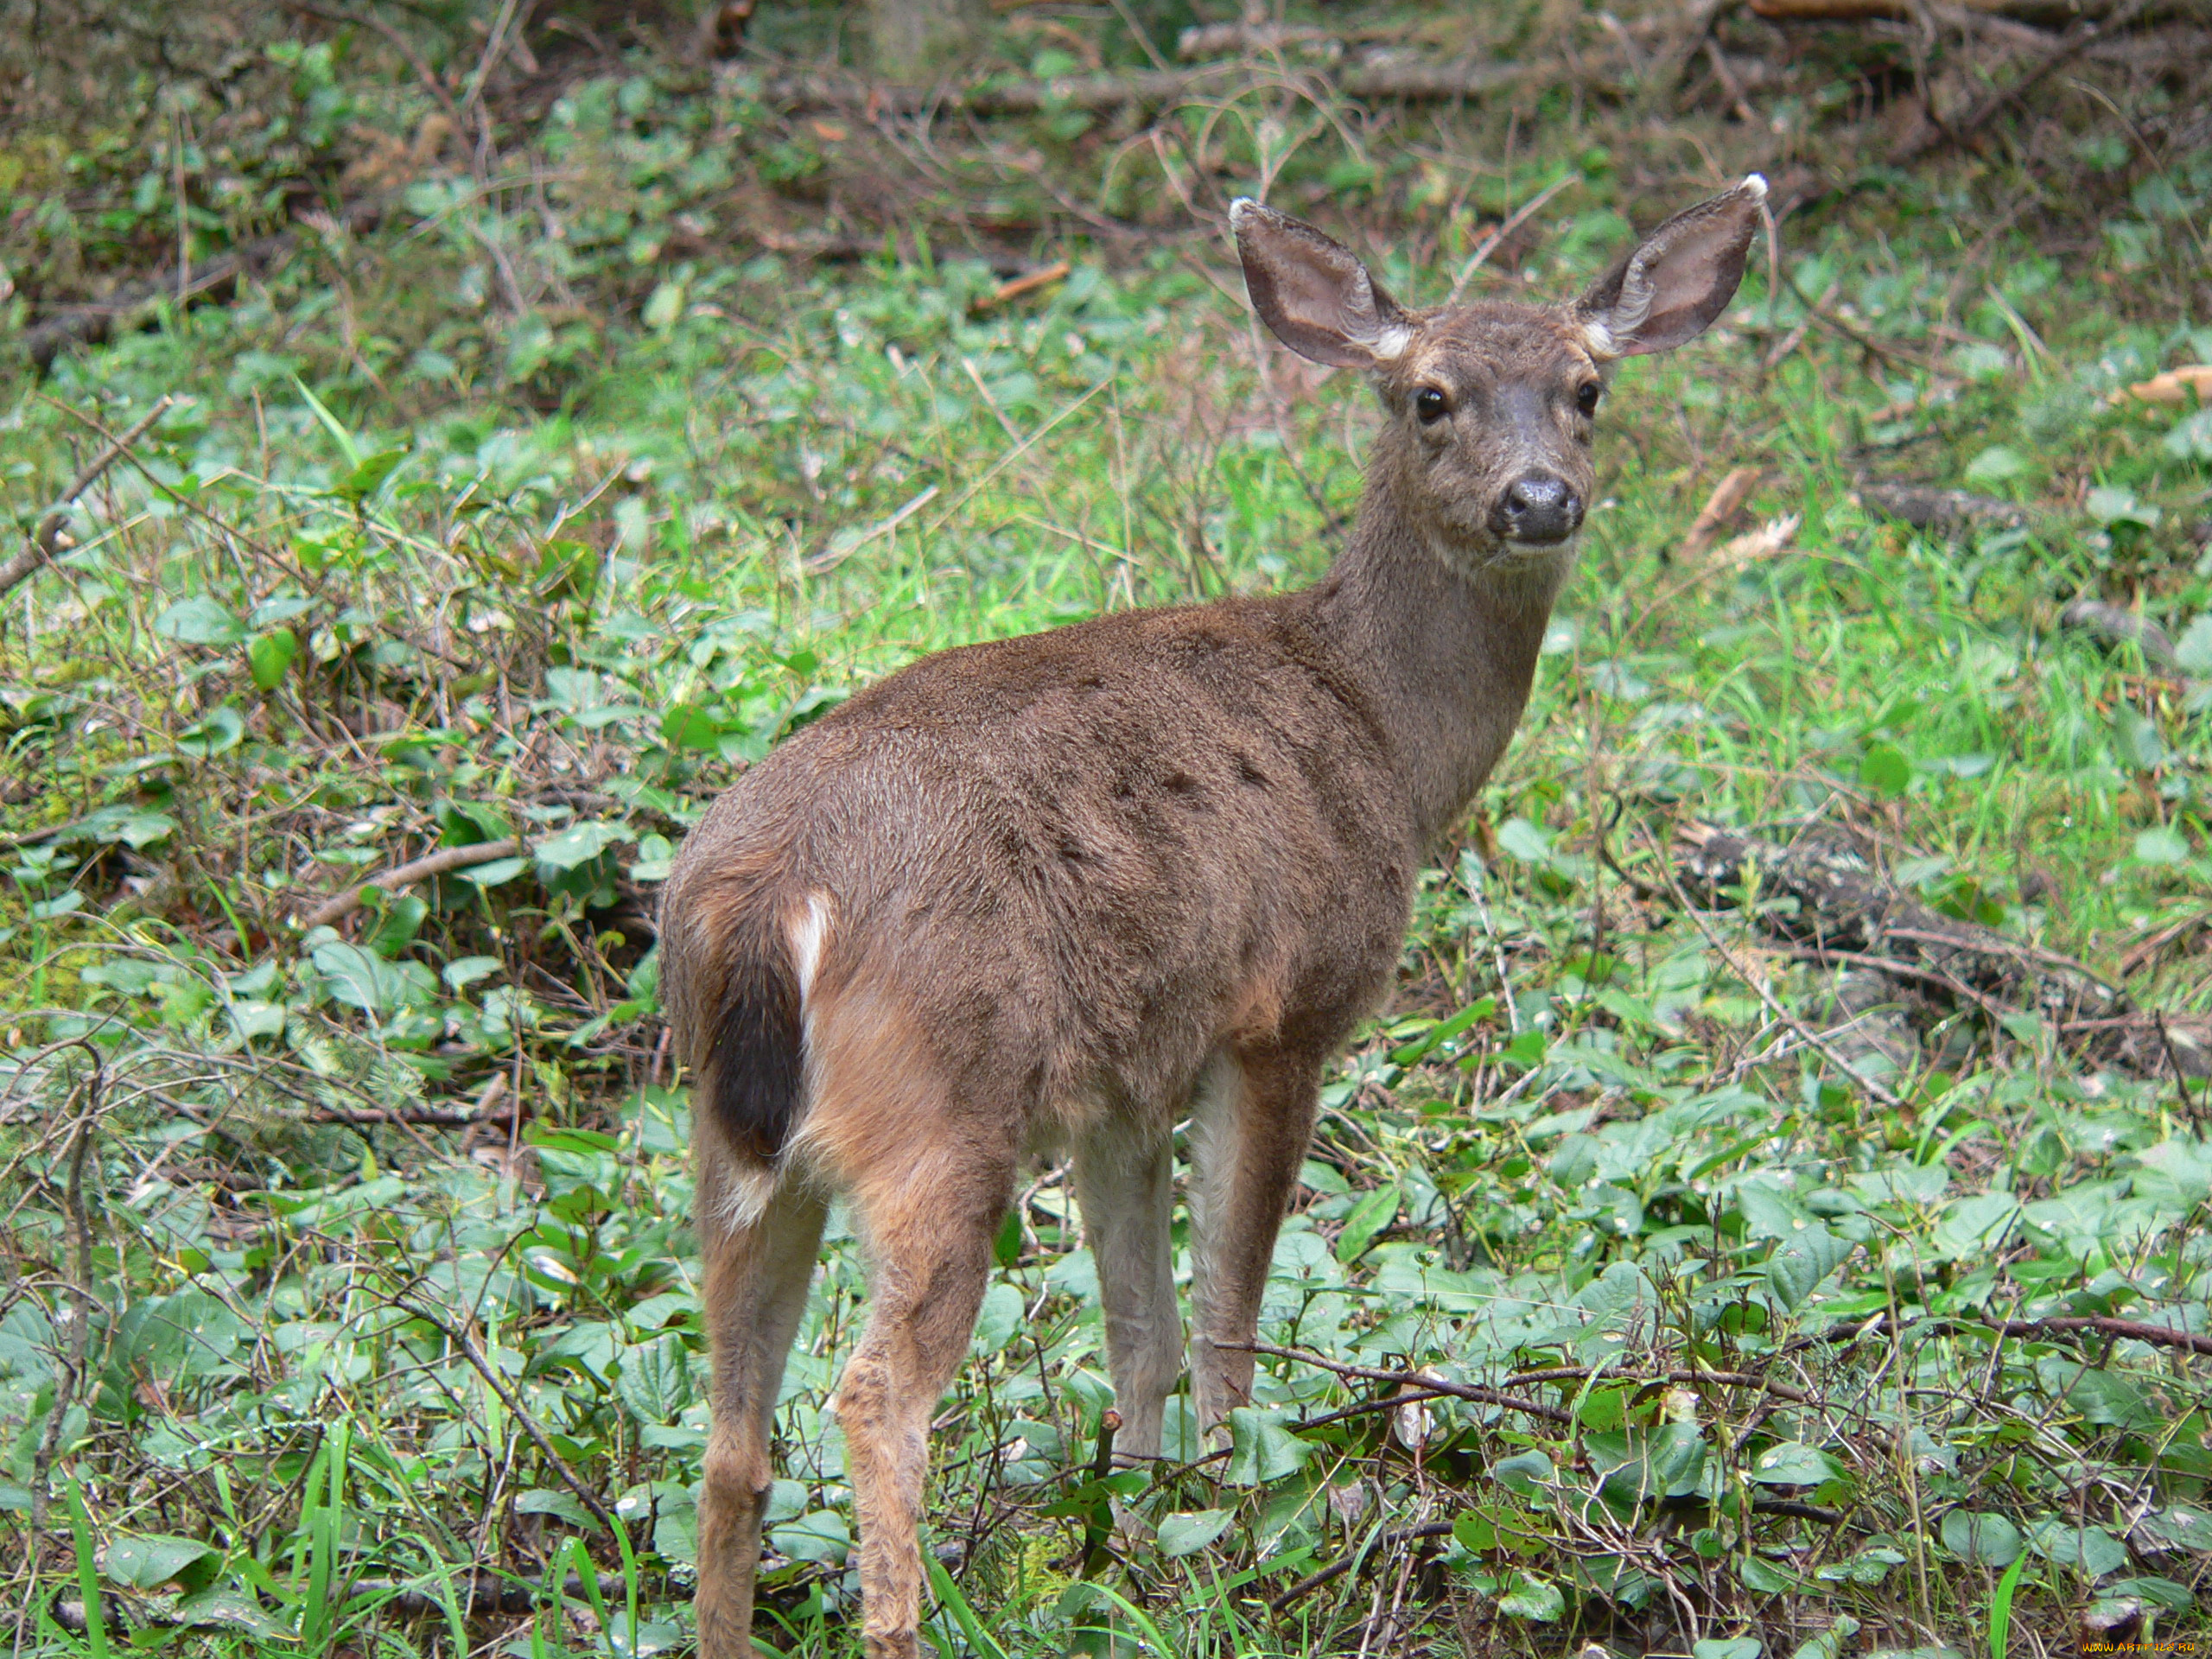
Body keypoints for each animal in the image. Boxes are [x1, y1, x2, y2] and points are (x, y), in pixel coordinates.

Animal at [664, 179, 1770, 1659]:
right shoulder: (1281, 1012)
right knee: (871, 1395)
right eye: (1430, 396)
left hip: (732, 1142)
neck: (1386, 735)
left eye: (1588, 387)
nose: (1541, 498)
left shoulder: (1121, 1084)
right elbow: (1229, 1311)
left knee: (731, 1436)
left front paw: (1137, 1533)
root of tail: (765, 896)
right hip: (939, 1111)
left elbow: (1139, 1332)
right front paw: (1240, 1520)